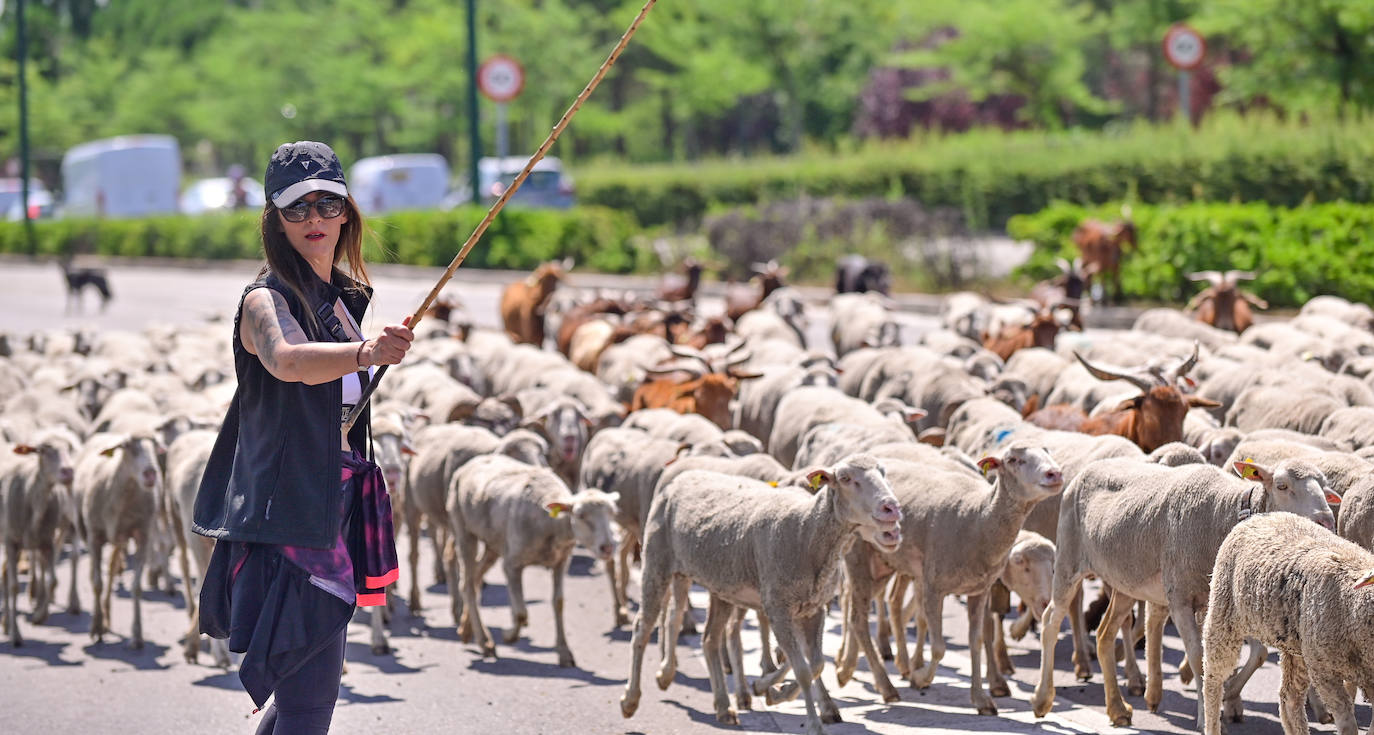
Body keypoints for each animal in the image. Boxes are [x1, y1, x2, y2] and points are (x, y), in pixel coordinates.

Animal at [445, 453, 618, 667]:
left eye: (612, 513)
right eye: (580, 515)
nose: (608, 547)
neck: (551, 524)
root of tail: (473, 462)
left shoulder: (561, 562)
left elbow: (558, 603)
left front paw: (564, 652)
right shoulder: (512, 565)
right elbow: (521, 613)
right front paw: (509, 635)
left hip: (494, 543)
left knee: (476, 578)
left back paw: (467, 630)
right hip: (463, 528)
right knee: (467, 583)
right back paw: (485, 643)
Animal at [621, 456, 901, 730]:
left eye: (884, 473)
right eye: (845, 478)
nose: (892, 507)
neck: (806, 532)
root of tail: (682, 475)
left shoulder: (814, 608)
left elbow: (816, 663)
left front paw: (769, 689)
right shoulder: (778, 607)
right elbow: (802, 668)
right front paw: (810, 722)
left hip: (718, 584)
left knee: (704, 635)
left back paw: (721, 705)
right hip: (657, 560)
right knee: (643, 627)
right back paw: (631, 700)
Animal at [1033, 456, 1341, 725]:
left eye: (1326, 489)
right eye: (1282, 486)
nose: (1326, 521)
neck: (1223, 515)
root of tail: (1087, 469)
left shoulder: (1213, 601)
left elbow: (1248, 654)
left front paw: (1226, 696)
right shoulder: (1180, 598)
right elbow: (1197, 656)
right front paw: (1208, 716)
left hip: (1125, 580)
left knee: (1104, 633)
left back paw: (1118, 709)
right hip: (1068, 558)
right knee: (1051, 620)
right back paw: (1042, 700)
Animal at [1203, 511, 1374, 735]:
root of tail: (1263, 515)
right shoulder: (1324, 671)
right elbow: (1347, 725)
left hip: (1296, 648)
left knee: (1289, 699)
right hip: (1223, 615)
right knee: (1213, 680)